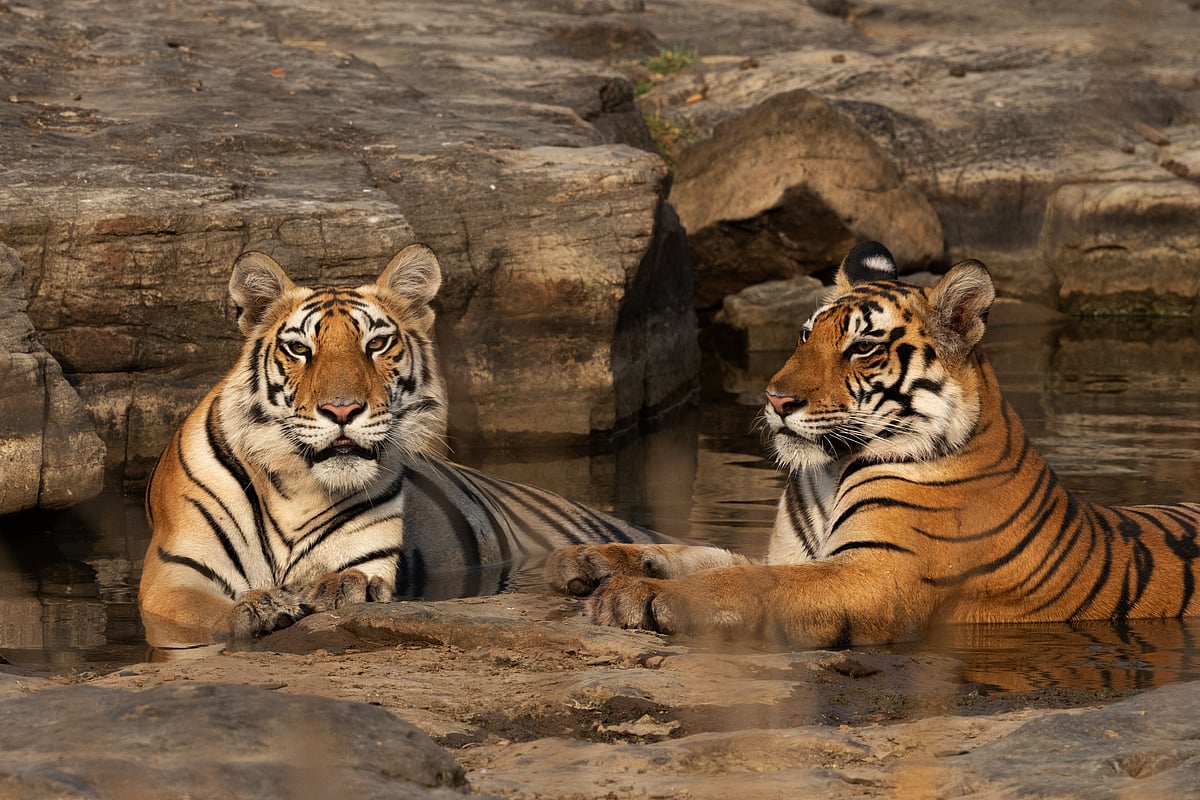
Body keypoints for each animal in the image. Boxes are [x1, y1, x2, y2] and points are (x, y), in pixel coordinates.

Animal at [139, 243, 666, 647]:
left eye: (376, 345)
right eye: (300, 349)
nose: (342, 411)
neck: (298, 486)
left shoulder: (367, 553)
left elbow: (352, 575)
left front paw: (341, 587)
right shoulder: (173, 578)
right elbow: (202, 610)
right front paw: (261, 606)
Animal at [547, 241, 1200, 648]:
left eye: (862, 348)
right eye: (805, 336)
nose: (775, 399)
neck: (828, 471)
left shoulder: (873, 575)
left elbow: (734, 582)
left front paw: (635, 596)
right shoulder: (798, 555)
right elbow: (698, 553)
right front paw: (589, 558)